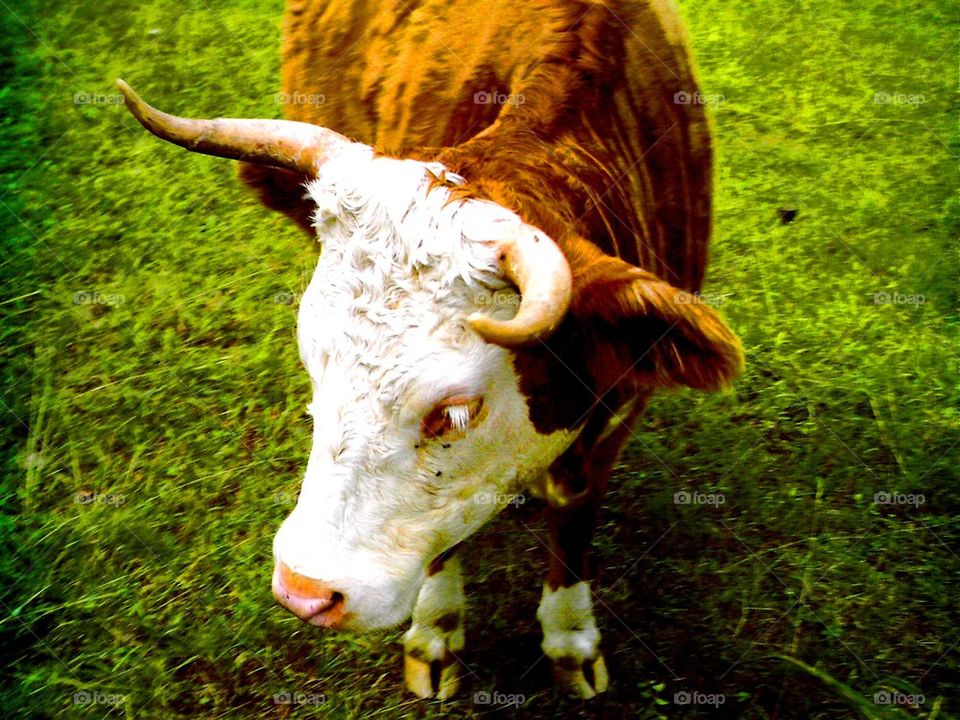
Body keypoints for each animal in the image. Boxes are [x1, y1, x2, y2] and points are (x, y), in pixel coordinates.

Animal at [118, 0, 743, 701]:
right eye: (314, 368)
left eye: (455, 411)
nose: (304, 592)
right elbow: (445, 535)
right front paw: (438, 630)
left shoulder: (618, 415)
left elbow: (574, 516)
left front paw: (572, 639)